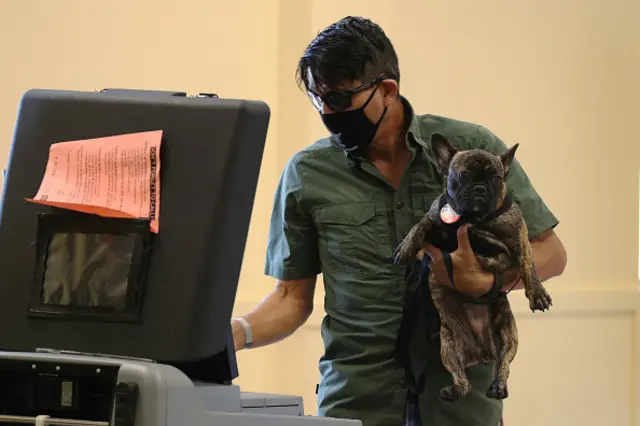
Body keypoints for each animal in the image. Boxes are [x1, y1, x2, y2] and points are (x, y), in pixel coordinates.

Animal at [392, 132, 552, 402]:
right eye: (463, 174)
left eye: (496, 177)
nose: (480, 188)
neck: (472, 218)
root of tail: (481, 352)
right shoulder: (435, 220)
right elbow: (420, 224)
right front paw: (406, 247)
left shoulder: (517, 234)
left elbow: (526, 261)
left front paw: (537, 292)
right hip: (448, 346)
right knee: (462, 381)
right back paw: (453, 390)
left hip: (507, 332)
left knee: (504, 365)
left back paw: (498, 386)